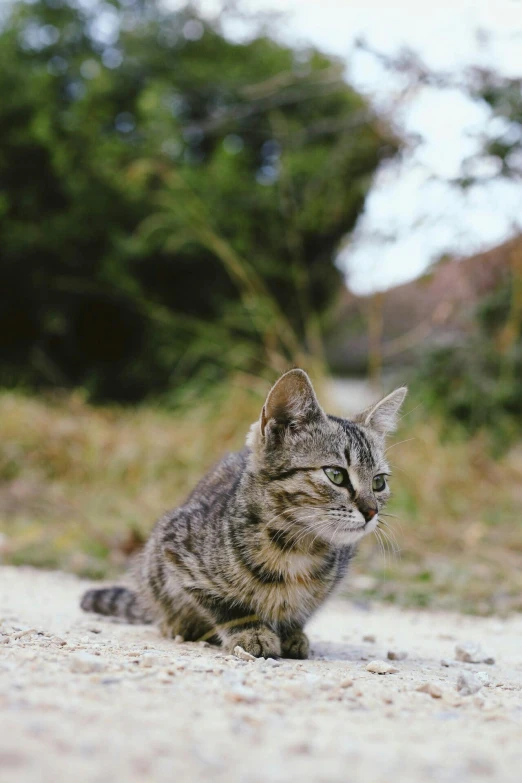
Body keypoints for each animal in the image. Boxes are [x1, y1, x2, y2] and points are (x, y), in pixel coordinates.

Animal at [81, 370, 406, 660]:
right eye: (336, 475)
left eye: (379, 482)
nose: (371, 511)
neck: (296, 547)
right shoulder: (174, 548)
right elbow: (223, 602)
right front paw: (252, 631)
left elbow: (301, 609)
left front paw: (292, 633)